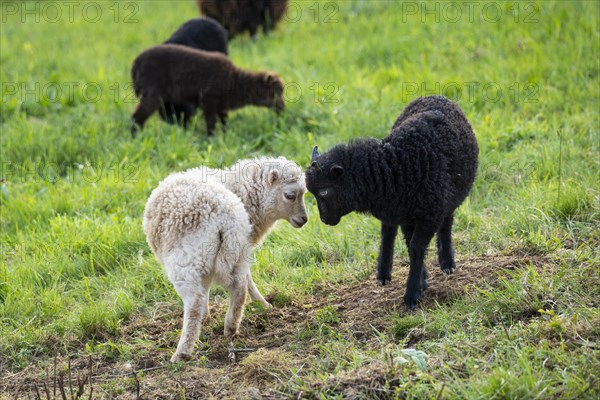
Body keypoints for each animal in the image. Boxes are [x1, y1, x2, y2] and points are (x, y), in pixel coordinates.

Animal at [130, 44, 284, 136]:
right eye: (275, 93)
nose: (283, 109)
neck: (235, 82)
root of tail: (135, 64)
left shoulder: (221, 104)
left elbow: (224, 120)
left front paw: (226, 134)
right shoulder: (209, 99)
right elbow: (211, 121)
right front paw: (211, 137)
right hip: (152, 93)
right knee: (137, 116)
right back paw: (136, 137)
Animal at [143, 156, 308, 362]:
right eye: (290, 195)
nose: (304, 219)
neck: (244, 191)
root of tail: (225, 217)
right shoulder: (242, 246)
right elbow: (245, 279)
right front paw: (263, 305)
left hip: (186, 261)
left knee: (195, 301)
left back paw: (181, 352)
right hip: (235, 247)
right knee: (239, 287)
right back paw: (230, 326)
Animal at [304, 95, 478, 308]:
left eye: (324, 192)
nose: (324, 219)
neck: (394, 166)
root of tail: (435, 96)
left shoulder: (430, 214)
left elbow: (416, 248)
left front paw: (412, 293)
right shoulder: (407, 216)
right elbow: (409, 244)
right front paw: (421, 283)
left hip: (444, 200)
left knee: (446, 223)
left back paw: (447, 262)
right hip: (399, 211)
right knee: (388, 232)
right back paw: (383, 273)